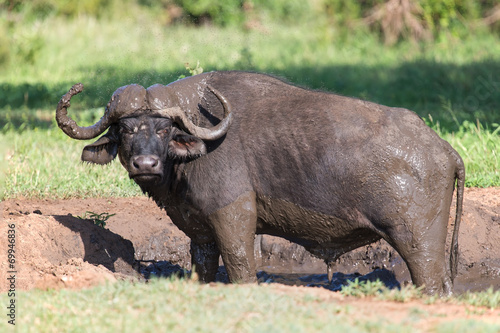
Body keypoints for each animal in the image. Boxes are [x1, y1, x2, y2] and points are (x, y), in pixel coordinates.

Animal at [56, 70, 466, 294]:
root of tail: (443, 149)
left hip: (418, 243)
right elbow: (203, 267)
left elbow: (241, 268)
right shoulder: (200, 232)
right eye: (125, 129)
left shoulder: (234, 218)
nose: (145, 163)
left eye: (163, 128)